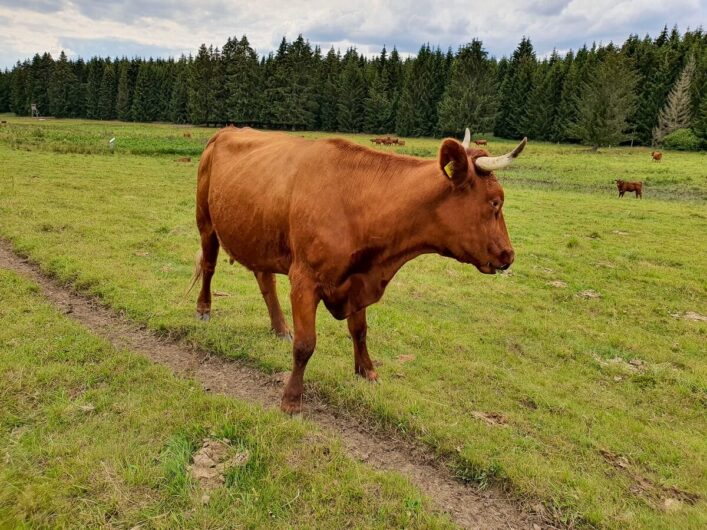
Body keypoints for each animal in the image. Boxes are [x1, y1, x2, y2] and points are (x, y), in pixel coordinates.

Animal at [191, 126, 528, 410]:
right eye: (495, 202)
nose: (509, 255)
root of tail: (226, 130)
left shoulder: (359, 277)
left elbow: (360, 330)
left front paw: (367, 370)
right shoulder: (305, 280)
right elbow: (305, 345)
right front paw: (291, 399)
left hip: (260, 234)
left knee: (265, 279)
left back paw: (279, 327)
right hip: (206, 222)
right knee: (209, 265)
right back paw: (204, 309)